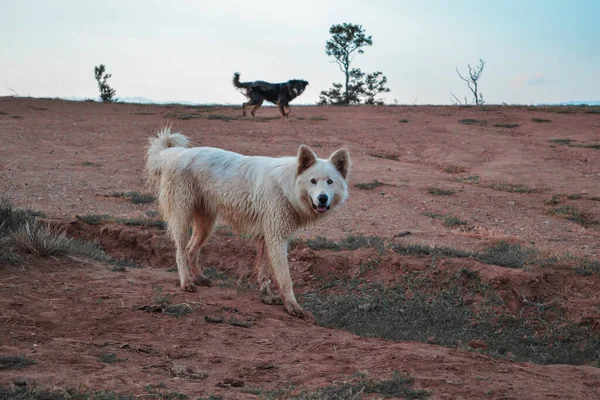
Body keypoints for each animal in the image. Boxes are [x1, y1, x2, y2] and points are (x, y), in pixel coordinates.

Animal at [146, 126, 352, 318]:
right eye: (313, 181)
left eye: (330, 182)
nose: (323, 199)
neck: (287, 188)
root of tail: (175, 153)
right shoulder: (276, 239)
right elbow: (285, 278)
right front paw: (292, 306)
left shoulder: (267, 238)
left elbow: (265, 273)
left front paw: (266, 297)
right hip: (182, 219)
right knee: (180, 252)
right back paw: (186, 282)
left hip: (206, 225)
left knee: (191, 249)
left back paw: (198, 278)